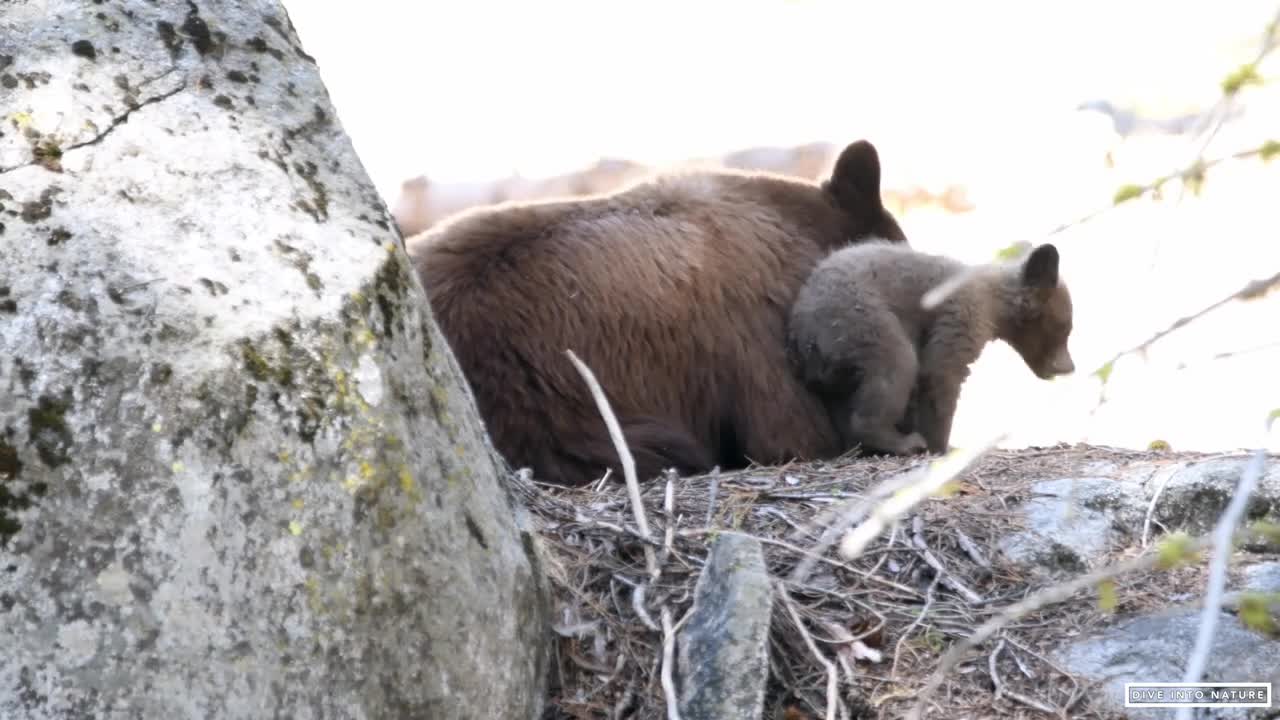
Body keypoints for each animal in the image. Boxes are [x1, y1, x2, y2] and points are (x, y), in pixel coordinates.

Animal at [788, 240, 1070, 453]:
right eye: (1064, 329)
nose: (1069, 367)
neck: (995, 302)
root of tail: (803, 332)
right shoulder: (965, 311)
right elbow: (941, 373)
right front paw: (940, 445)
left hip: (836, 359)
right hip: (859, 318)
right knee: (895, 366)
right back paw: (902, 442)